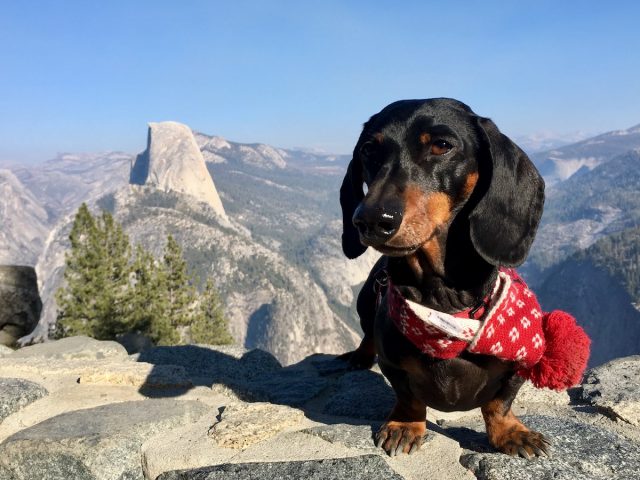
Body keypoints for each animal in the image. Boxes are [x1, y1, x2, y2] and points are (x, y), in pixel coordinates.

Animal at [340, 96, 552, 458]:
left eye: (441, 145)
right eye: (368, 149)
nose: (369, 220)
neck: (444, 305)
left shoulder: (520, 364)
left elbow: (499, 403)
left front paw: (512, 432)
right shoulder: (392, 364)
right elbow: (408, 397)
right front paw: (405, 425)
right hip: (366, 300)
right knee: (368, 333)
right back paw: (359, 356)